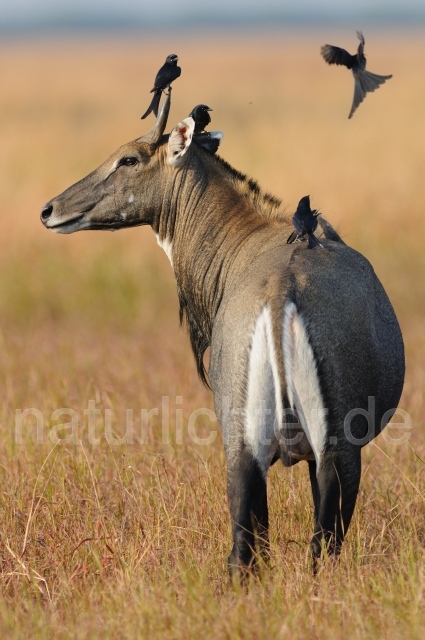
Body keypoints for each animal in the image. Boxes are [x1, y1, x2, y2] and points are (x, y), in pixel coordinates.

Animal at [40, 92, 404, 576]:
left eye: (129, 158)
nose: (49, 210)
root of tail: (280, 293)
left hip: (259, 448)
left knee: (253, 548)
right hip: (327, 450)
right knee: (310, 542)